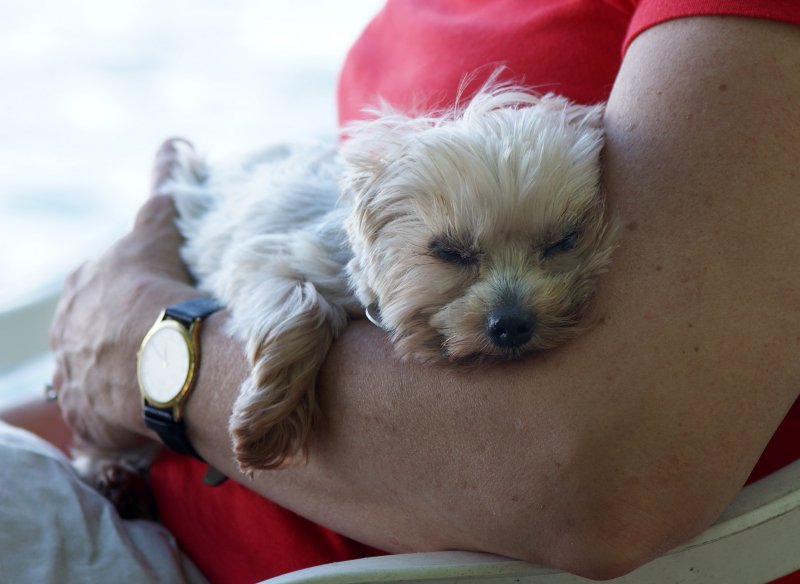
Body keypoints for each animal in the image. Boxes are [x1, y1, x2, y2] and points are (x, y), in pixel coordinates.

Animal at [158, 83, 620, 474]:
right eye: (449, 250)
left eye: (564, 240)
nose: (510, 324)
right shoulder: (267, 257)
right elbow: (300, 311)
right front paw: (269, 422)